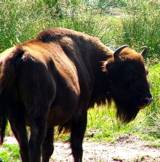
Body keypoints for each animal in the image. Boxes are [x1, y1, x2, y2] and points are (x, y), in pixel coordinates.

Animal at [0, 28, 152, 162]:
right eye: (129, 74)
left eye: (146, 72)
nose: (147, 99)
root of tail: (20, 55)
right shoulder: (80, 115)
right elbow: (77, 148)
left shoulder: (50, 122)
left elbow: (48, 149)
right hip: (37, 117)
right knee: (34, 146)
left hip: (15, 118)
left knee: (24, 146)